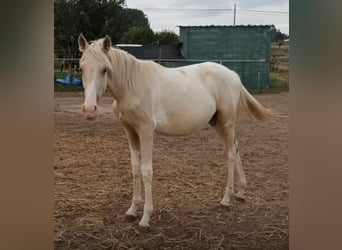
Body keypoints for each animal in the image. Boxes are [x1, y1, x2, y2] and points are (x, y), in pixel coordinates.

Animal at [78, 33, 276, 229]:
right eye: (81, 68)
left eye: (104, 69)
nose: (89, 110)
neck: (132, 86)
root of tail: (233, 75)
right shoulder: (130, 132)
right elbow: (135, 169)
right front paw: (132, 211)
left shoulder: (146, 131)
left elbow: (146, 171)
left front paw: (145, 218)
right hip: (217, 123)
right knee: (235, 147)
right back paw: (241, 193)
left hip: (227, 122)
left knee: (231, 155)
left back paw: (226, 199)